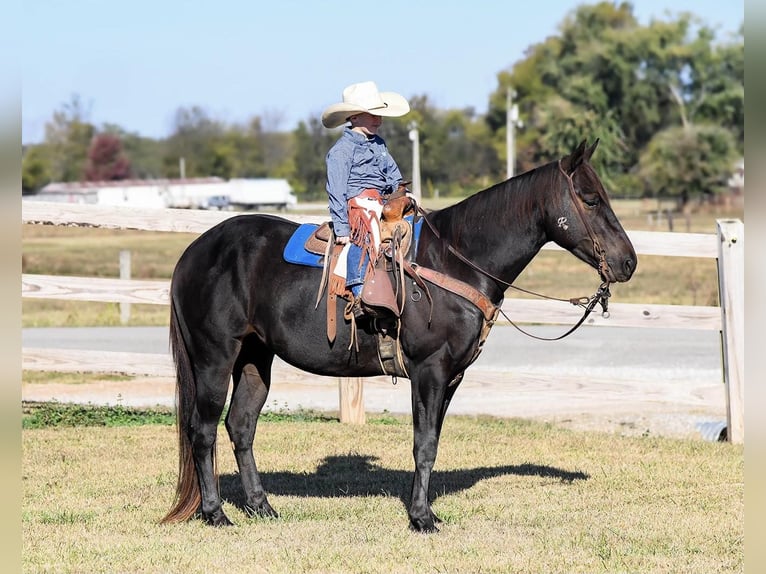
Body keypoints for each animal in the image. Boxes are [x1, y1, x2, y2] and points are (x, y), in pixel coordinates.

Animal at [160, 140, 636, 536]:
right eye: (590, 199)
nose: (628, 262)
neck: (454, 261)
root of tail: (192, 254)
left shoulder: (451, 377)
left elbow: (433, 442)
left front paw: (423, 510)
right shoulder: (429, 371)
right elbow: (423, 444)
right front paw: (421, 518)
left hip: (256, 359)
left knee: (241, 426)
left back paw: (261, 507)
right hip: (214, 358)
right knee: (202, 429)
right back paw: (215, 514)